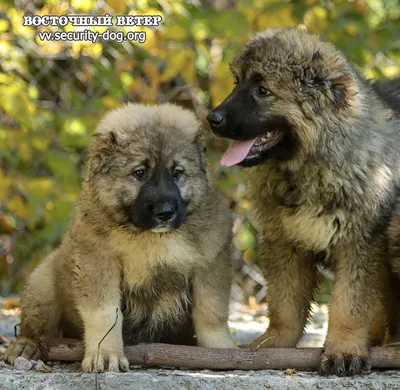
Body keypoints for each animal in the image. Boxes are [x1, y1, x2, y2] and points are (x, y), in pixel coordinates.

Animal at [6, 103, 236, 372]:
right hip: (42, 283)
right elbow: (105, 315)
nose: (165, 212)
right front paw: (106, 355)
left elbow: (212, 313)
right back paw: (25, 347)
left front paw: (221, 352)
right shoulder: (97, 265)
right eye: (139, 173)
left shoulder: (211, 262)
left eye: (177, 172)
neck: (149, 238)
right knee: (35, 328)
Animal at [206, 27, 400, 374]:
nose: (211, 118)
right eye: (237, 83)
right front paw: (271, 346)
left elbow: (350, 304)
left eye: (264, 90)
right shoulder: (286, 242)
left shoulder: (362, 243)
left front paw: (344, 349)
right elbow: (286, 304)